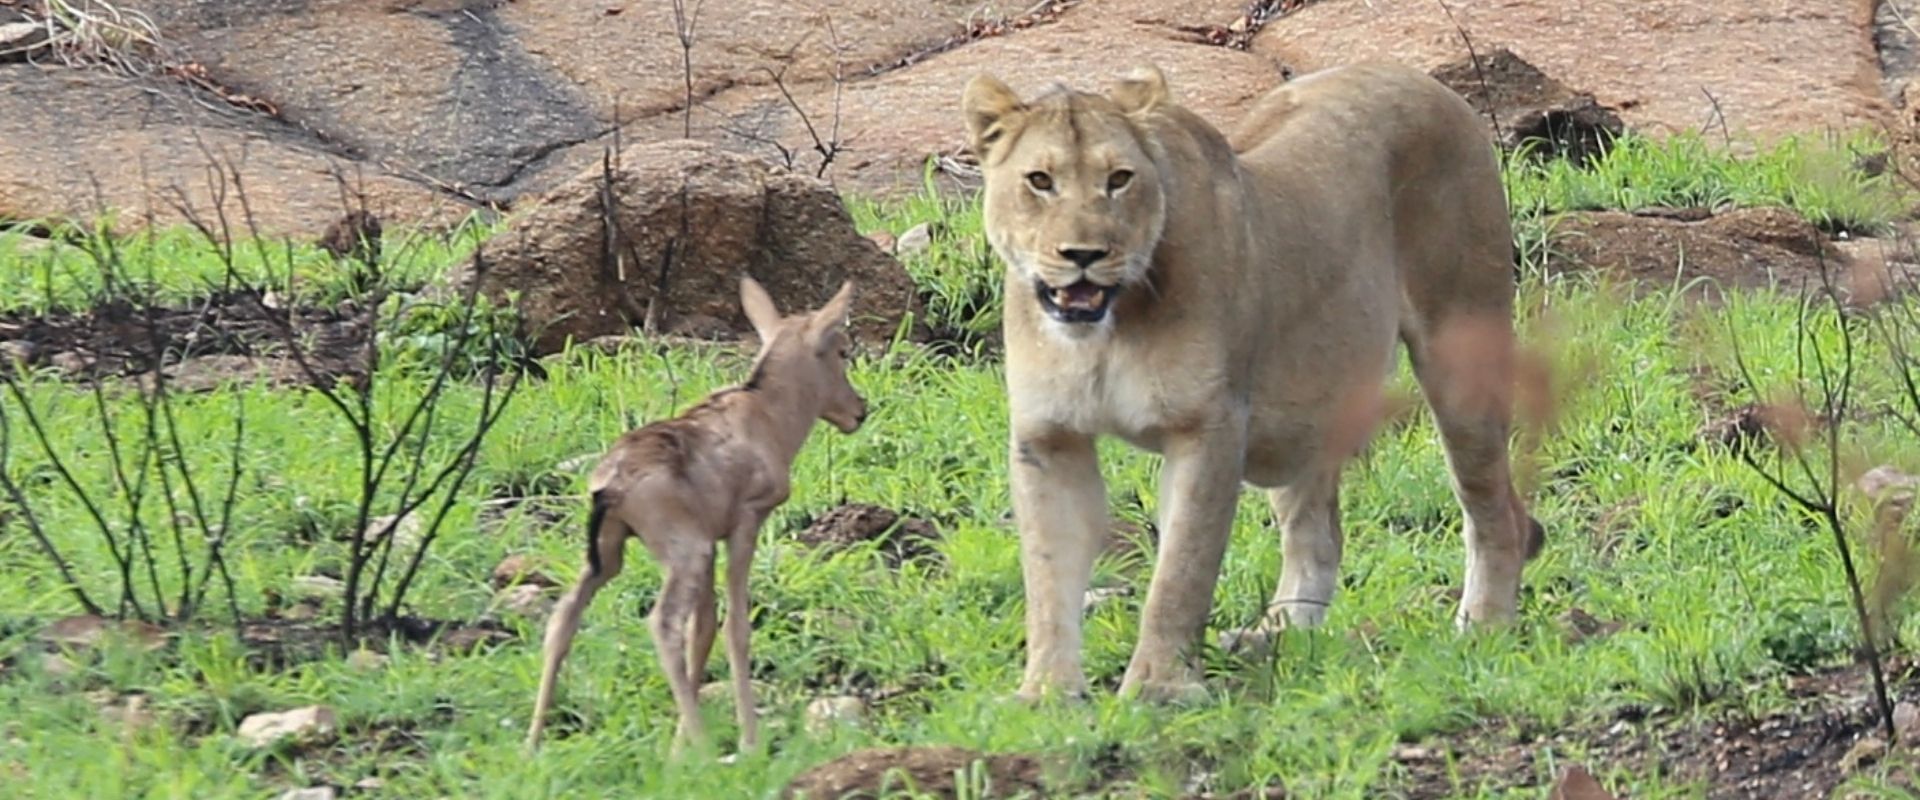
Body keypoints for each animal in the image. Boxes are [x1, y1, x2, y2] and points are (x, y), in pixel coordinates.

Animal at [960, 61, 1547, 702]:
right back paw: (1276, 635)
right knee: (1319, 531)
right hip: (1305, 406)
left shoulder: (1208, 427)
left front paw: (1160, 688)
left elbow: (1181, 571)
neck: (1106, 331)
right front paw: (1045, 694)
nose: (1083, 254)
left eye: (1119, 179)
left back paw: (1484, 627)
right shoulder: (1049, 438)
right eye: (1039, 180)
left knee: (1496, 510)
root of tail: (1422, 79)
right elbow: (1047, 580)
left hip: (1460, 358)